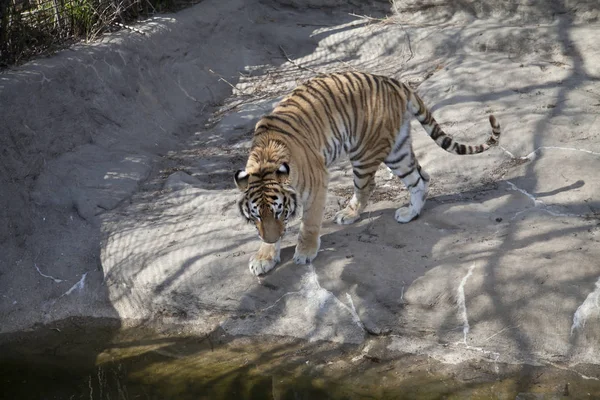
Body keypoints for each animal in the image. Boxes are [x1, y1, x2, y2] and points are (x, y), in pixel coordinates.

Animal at [232, 71, 500, 276]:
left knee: (369, 185)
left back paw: (352, 214)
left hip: (366, 152)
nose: (271, 239)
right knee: (421, 178)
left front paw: (305, 252)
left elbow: (309, 223)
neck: (265, 159)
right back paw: (410, 214)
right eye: (256, 216)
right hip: (398, 150)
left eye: (279, 212)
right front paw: (265, 256)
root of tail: (394, 81)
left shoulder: (318, 184)